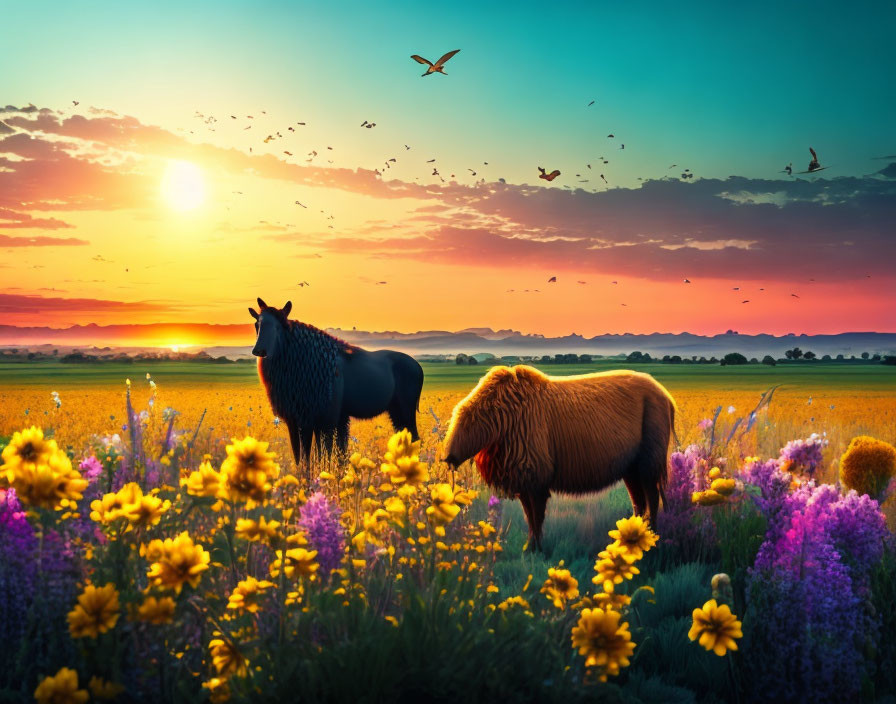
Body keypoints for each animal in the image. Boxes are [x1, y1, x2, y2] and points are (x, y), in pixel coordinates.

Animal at [248, 296, 424, 468]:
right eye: (257, 324)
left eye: (279, 326)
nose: (259, 350)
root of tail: (418, 367)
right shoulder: (298, 420)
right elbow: (307, 456)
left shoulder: (320, 419)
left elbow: (320, 454)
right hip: (396, 412)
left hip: (406, 410)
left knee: (415, 439)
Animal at [444, 366, 676, 552]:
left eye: (463, 424)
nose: (448, 458)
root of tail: (666, 397)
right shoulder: (525, 482)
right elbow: (530, 518)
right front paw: (530, 547)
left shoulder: (537, 480)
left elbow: (536, 518)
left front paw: (537, 548)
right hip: (631, 468)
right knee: (638, 500)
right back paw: (633, 535)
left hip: (649, 461)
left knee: (652, 499)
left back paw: (652, 536)